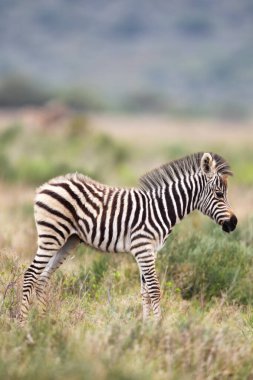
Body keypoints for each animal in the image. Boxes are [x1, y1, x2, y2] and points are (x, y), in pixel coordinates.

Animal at [19, 151, 237, 320]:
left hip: (67, 241)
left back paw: (45, 321)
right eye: (219, 194)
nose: (234, 223)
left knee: (43, 278)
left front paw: (145, 326)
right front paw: (158, 328)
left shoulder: (150, 251)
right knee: (31, 275)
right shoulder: (143, 248)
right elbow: (155, 290)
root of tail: (46, 185)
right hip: (52, 235)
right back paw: (23, 324)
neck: (161, 208)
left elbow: (145, 292)